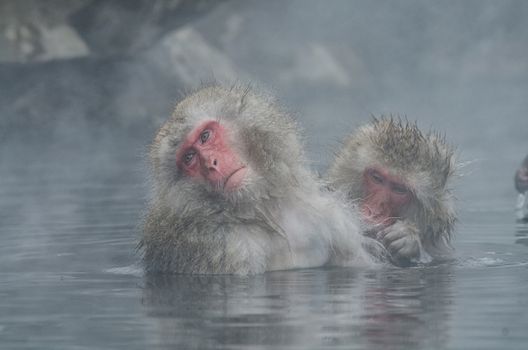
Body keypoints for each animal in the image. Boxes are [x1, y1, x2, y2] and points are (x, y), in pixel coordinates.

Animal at [138, 85, 382, 276]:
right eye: (189, 158)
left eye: (205, 136)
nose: (211, 164)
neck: (264, 211)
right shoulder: (219, 248)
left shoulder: (328, 215)